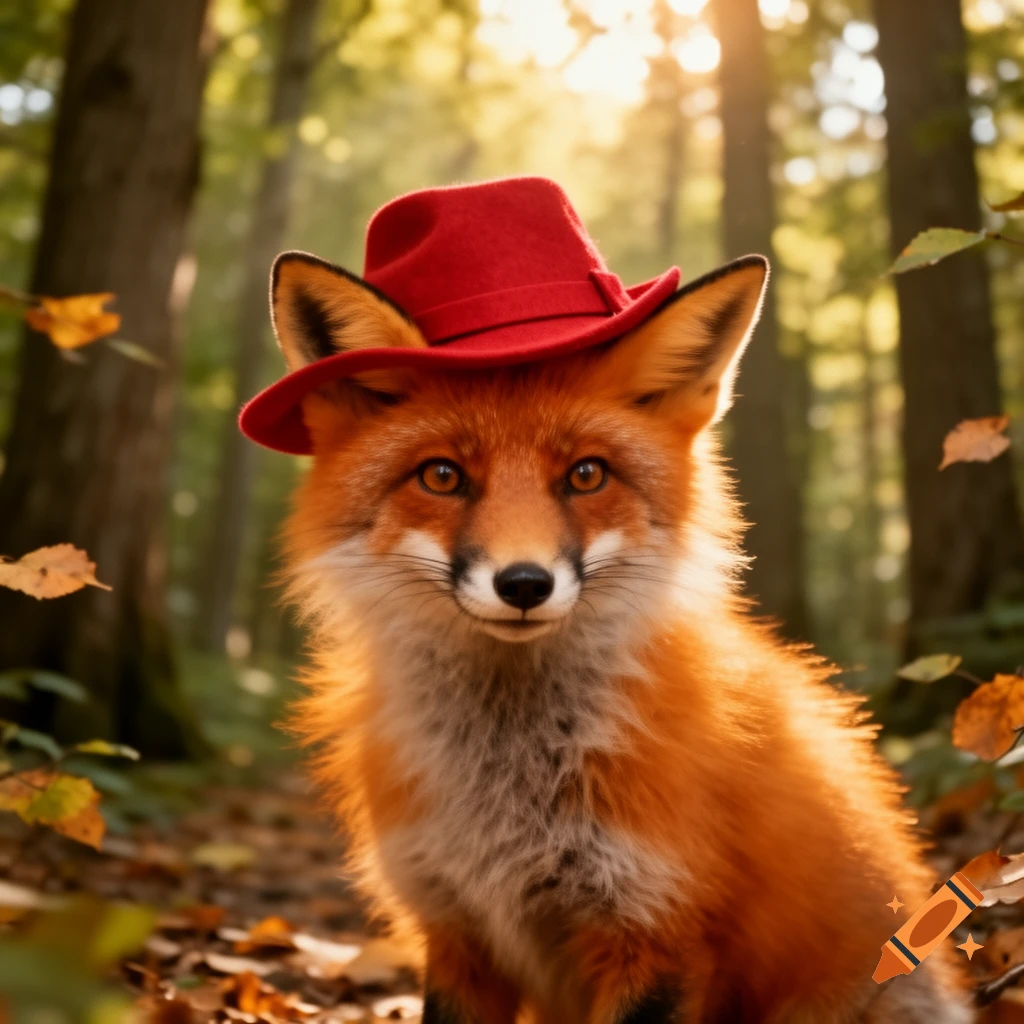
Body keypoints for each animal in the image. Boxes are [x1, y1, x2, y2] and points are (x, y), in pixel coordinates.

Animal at [266, 240, 972, 1022]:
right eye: (443, 476)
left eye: (586, 475)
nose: (523, 584)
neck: (505, 801)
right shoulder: (454, 929)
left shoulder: (658, 927)